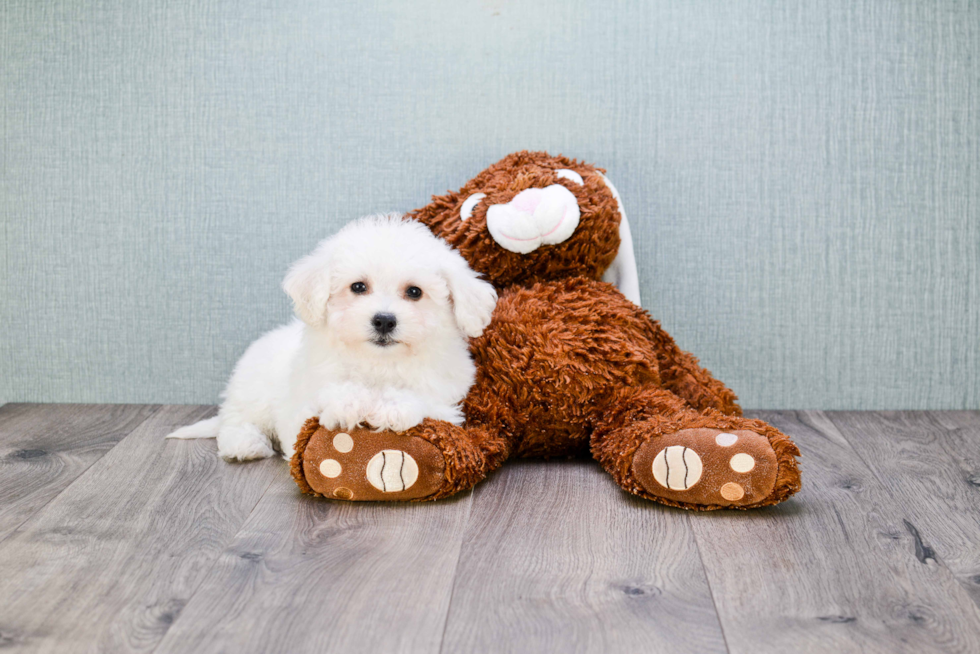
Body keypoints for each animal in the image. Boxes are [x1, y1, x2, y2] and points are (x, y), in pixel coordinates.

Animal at [167, 215, 498, 462]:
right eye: (358, 287)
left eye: (414, 292)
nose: (384, 320)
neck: (378, 362)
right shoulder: (303, 402)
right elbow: (328, 394)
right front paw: (349, 403)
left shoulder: (448, 397)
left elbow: (425, 398)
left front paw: (392, 407)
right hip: (251, 390)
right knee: (235, 420)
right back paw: (246, 444)